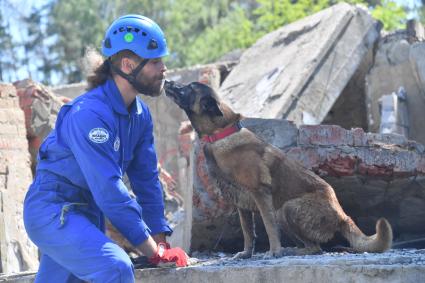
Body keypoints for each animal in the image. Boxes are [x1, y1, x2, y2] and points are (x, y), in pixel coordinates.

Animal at [164, 80, 392, 260]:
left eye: (189, 87)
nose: (167, 81)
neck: (221, 134)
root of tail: (342, 216)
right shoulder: (241, 204)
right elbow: (248, 232)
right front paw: (246, 253)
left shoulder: (260, 194)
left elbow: (268, 226)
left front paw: (274, 251)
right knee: (312, 246)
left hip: (286, 209)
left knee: (315, 248)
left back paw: (290, 251)